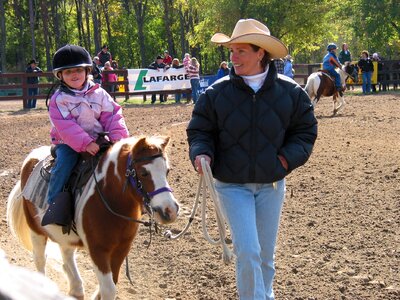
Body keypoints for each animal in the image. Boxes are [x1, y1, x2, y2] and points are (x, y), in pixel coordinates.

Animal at [6, 137, 180, 300]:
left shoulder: (122, 248)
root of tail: (32, 156)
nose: (170, 210)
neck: (109, 199)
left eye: (167, 171)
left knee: (67, 253)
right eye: (144, 173)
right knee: (40, 259)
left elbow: (112, 281)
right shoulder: (98, 250)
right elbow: (108, 289)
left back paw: (76, 288)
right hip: (35, 229)